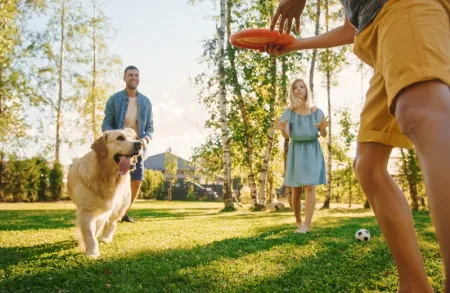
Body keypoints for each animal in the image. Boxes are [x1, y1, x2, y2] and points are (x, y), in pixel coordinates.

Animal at [67, 128, 142, 258]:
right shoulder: (86, 209)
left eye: (133, 138)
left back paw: (106, 238)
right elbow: (89, 232)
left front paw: (91, 249)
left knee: (112, 223)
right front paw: (92, 252)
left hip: (119, 207)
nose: (139, 143)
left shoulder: (105, 210)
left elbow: (96, 229)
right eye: (120, 138)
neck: (105, 175)